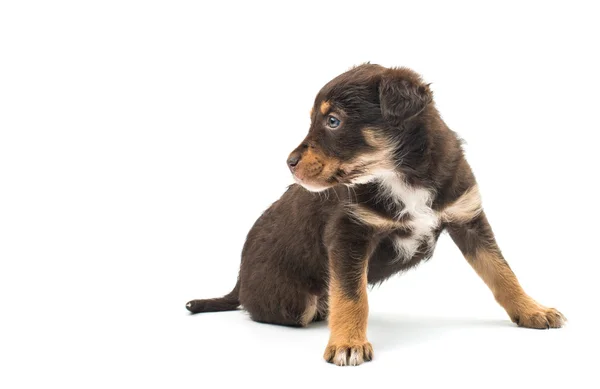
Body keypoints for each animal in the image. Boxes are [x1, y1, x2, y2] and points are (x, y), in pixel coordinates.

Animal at [185, 63, 564, 364]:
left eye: (333, 121)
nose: (289, 163)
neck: (402, 175)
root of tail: (239, 280)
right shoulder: (348, 233)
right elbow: (352, 295)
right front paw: (347, 343)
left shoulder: (467, 217)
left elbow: (501, 272)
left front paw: (533, 311)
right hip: (292, 301)